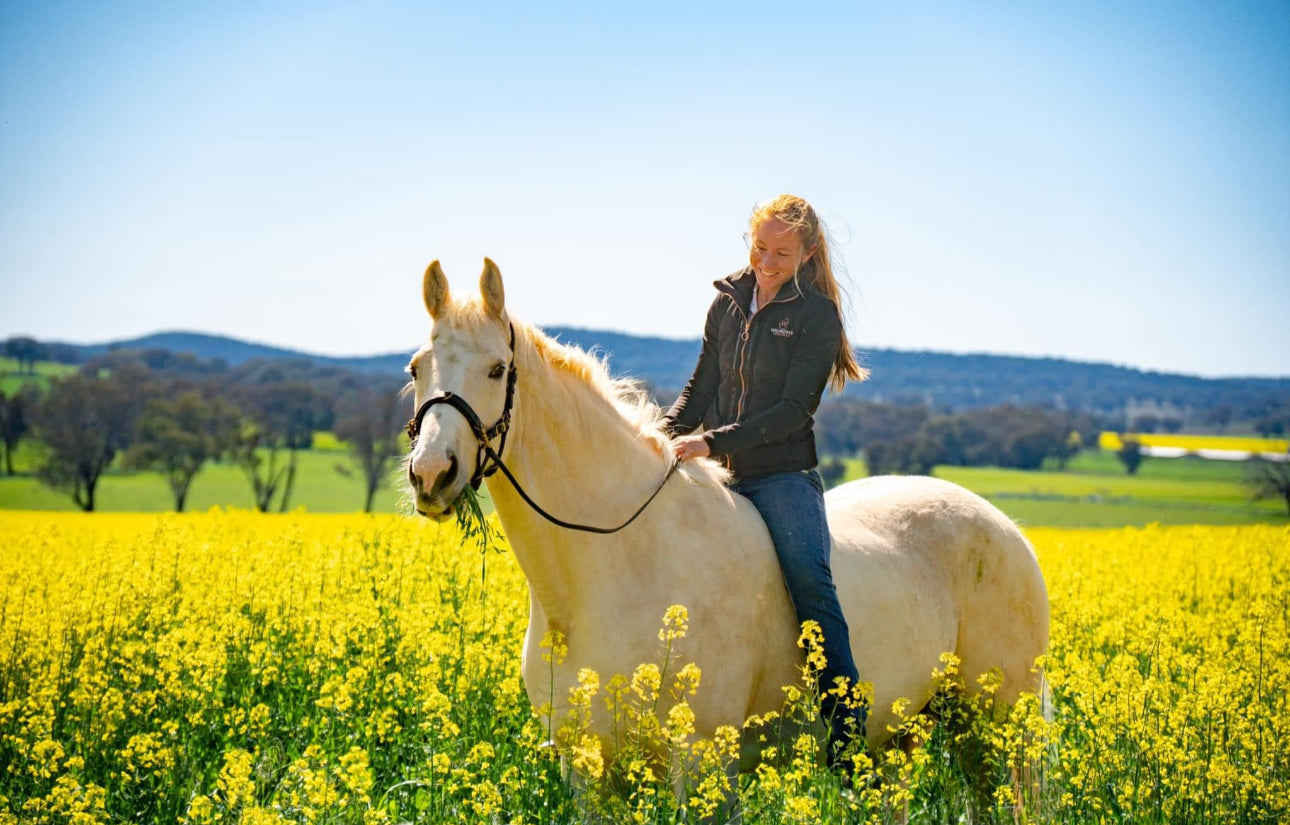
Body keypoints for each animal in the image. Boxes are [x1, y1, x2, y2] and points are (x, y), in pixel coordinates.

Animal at [407, 264, 1052, 778]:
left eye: (497, 370)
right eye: (416, 368)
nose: (432, 474)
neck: (616, 561)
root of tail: (1007, 528)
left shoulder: (698, 760)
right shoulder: (585, 768)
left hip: (1001, 733)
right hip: (900, 737)